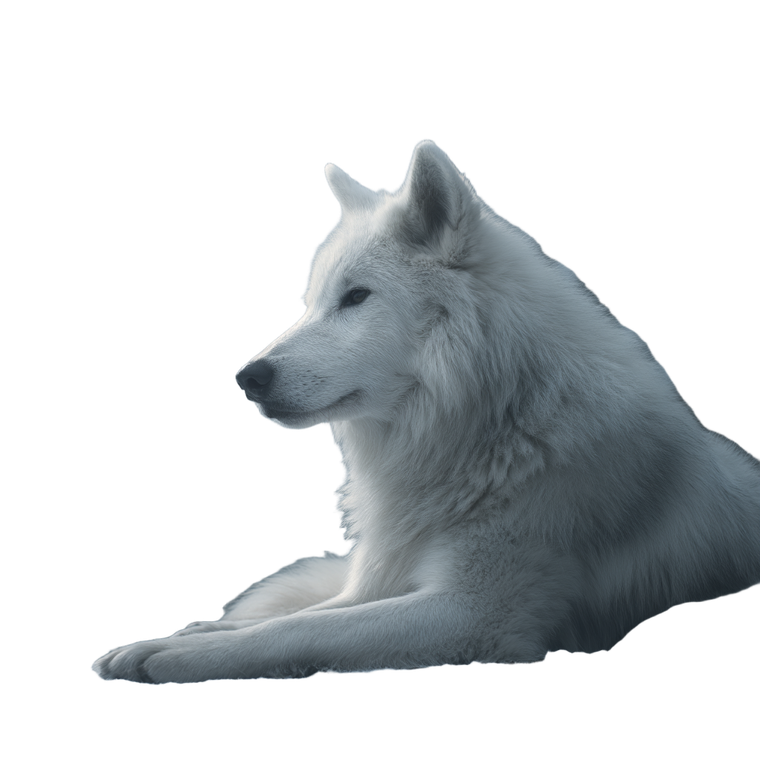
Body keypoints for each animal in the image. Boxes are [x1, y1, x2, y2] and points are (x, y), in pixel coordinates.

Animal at [92, 140, 759, 683]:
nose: (246, 379)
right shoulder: (383, 580)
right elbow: (293, 615)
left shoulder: (473, 611)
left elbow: (297, 627)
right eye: (311, 303)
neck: (492, 425)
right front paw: (172, 637)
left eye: (356, 297)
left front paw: (181, 656)